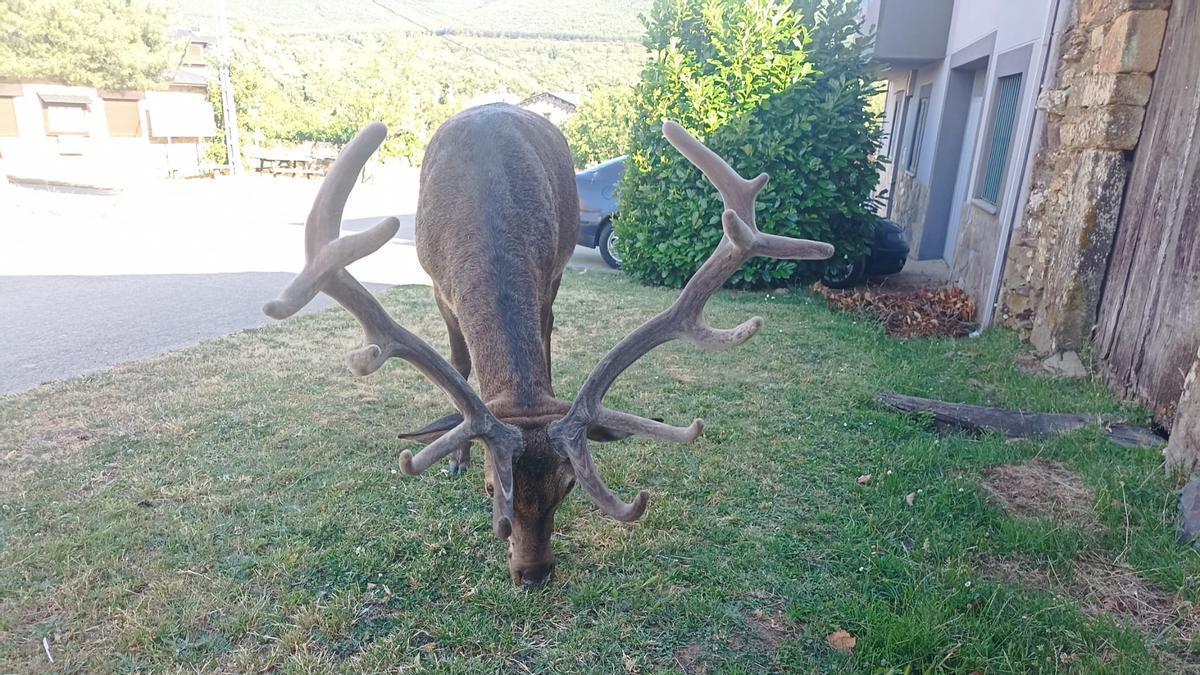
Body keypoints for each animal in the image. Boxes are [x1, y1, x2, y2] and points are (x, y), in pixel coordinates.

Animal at [264, 103, 833, 587]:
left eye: (568, 487)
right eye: (493, 490)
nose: (533, 575)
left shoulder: (550, 276)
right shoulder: (438, 290)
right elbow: (458, 364)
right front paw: (456, 456)